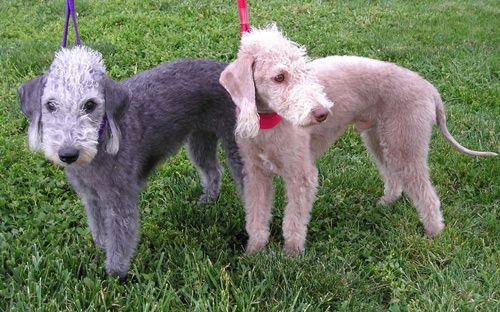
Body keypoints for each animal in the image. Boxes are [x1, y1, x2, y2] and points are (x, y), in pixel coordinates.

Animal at [19, 46, 244, 278]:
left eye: (90, 104)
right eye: (50, 105)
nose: (68, 154)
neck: (101, 142)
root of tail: (226, 70)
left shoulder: (120, 199)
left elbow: (121, 238)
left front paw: (114, 274)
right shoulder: (91, 197)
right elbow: (99, 229)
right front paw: (100, 250)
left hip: (237, 146)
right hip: (200, 139)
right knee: (213, 171)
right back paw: (208, 199)